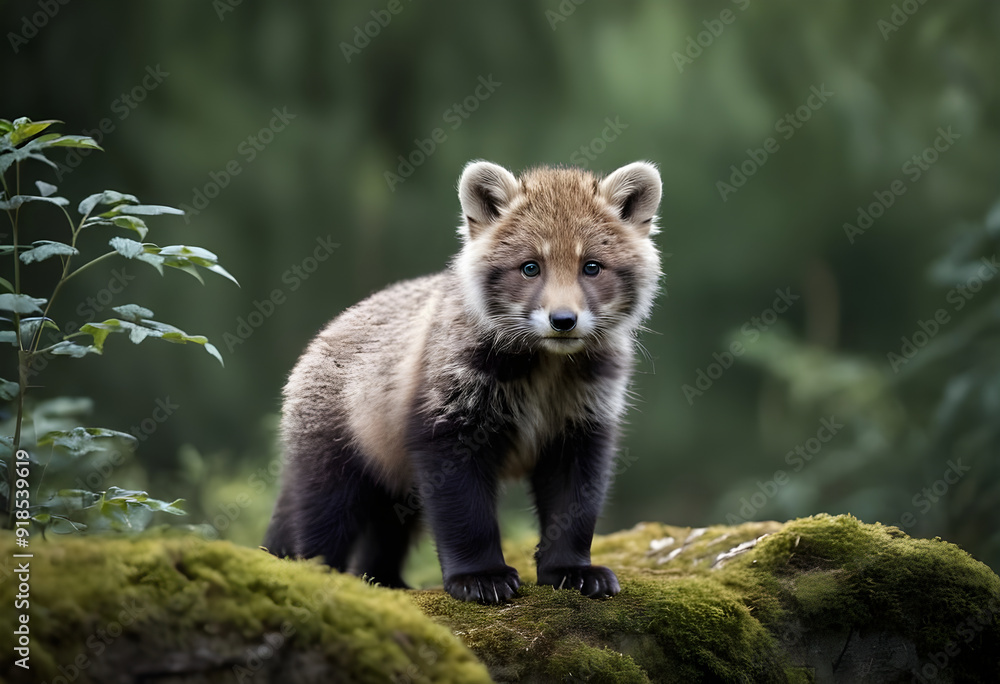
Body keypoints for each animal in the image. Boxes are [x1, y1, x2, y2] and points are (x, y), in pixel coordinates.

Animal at [264, 160, 662, 604]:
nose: (563, 321)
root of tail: (320, 338)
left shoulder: (584, 413)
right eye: (530, 266)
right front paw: (481, 576)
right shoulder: (448, 407)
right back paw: (317, 570)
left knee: (389, 523)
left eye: (591, 266)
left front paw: (572, 569)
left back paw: (385, 578)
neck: (545, 363)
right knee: (324, 511)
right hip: (340, 435)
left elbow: (573, 498)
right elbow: (462, 506)